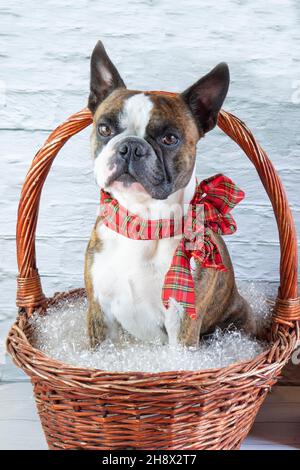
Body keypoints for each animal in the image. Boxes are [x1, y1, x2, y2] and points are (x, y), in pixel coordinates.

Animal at [85, 41, 255, 348]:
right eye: (104, 128)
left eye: (169, 139)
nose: (130, 146)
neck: (143, 222)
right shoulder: (99, 313)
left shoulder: (182, 322)